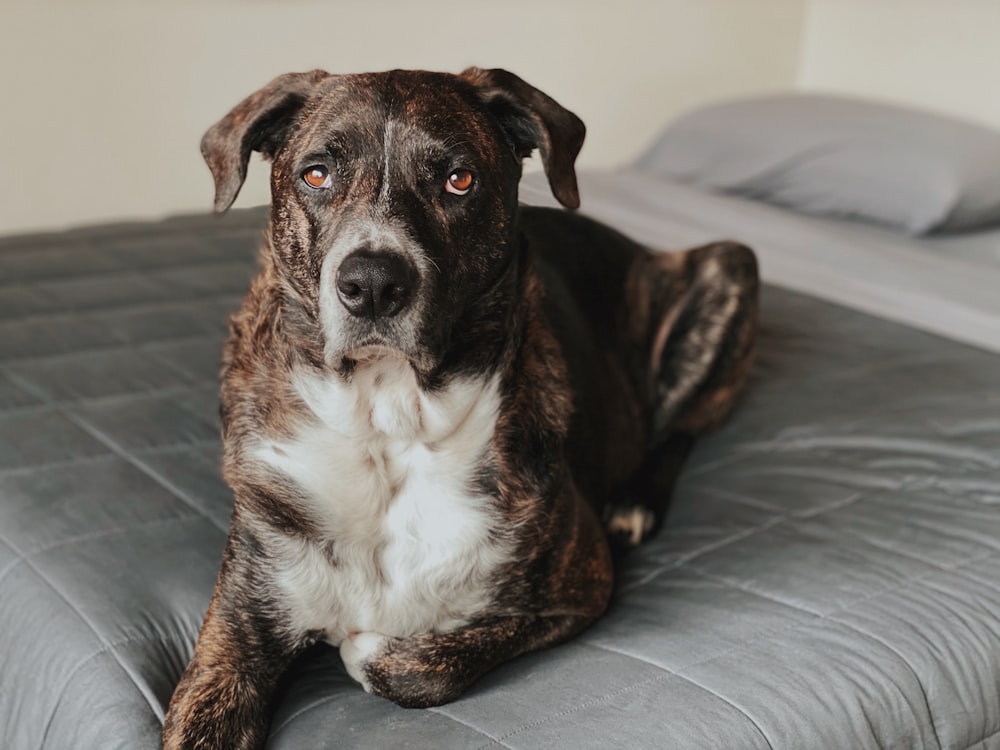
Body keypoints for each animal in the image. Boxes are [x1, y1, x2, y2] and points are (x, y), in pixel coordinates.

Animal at [162, 67, 756, 748]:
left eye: (458, 180)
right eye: (316, 174)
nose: (371, 284)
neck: (391, 422)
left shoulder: (582, 587)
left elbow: (427, 666)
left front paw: (367, 648)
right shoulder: (235, 638)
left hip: (731, 266)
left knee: (682, 430)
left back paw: (634, 505)